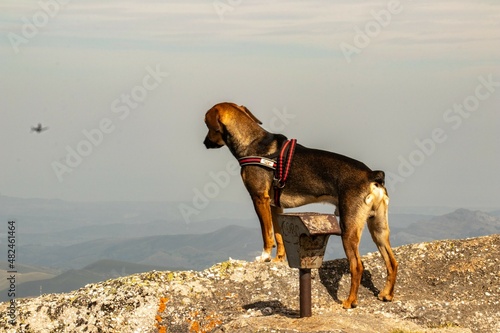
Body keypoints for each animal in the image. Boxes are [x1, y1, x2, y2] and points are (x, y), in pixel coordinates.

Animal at [203, 102, 398, 308]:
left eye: (207, 125)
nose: (205, 143)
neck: (252, 142)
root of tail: (372, 175)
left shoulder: (259, 198)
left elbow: (267, 234)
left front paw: (265, 257)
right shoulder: (275, 205)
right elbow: (279, 235)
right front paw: (279, 259)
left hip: (349, 227)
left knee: (357, 266)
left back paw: (350, 301)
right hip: (378, 228)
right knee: (392, 262)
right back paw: (386, 294)